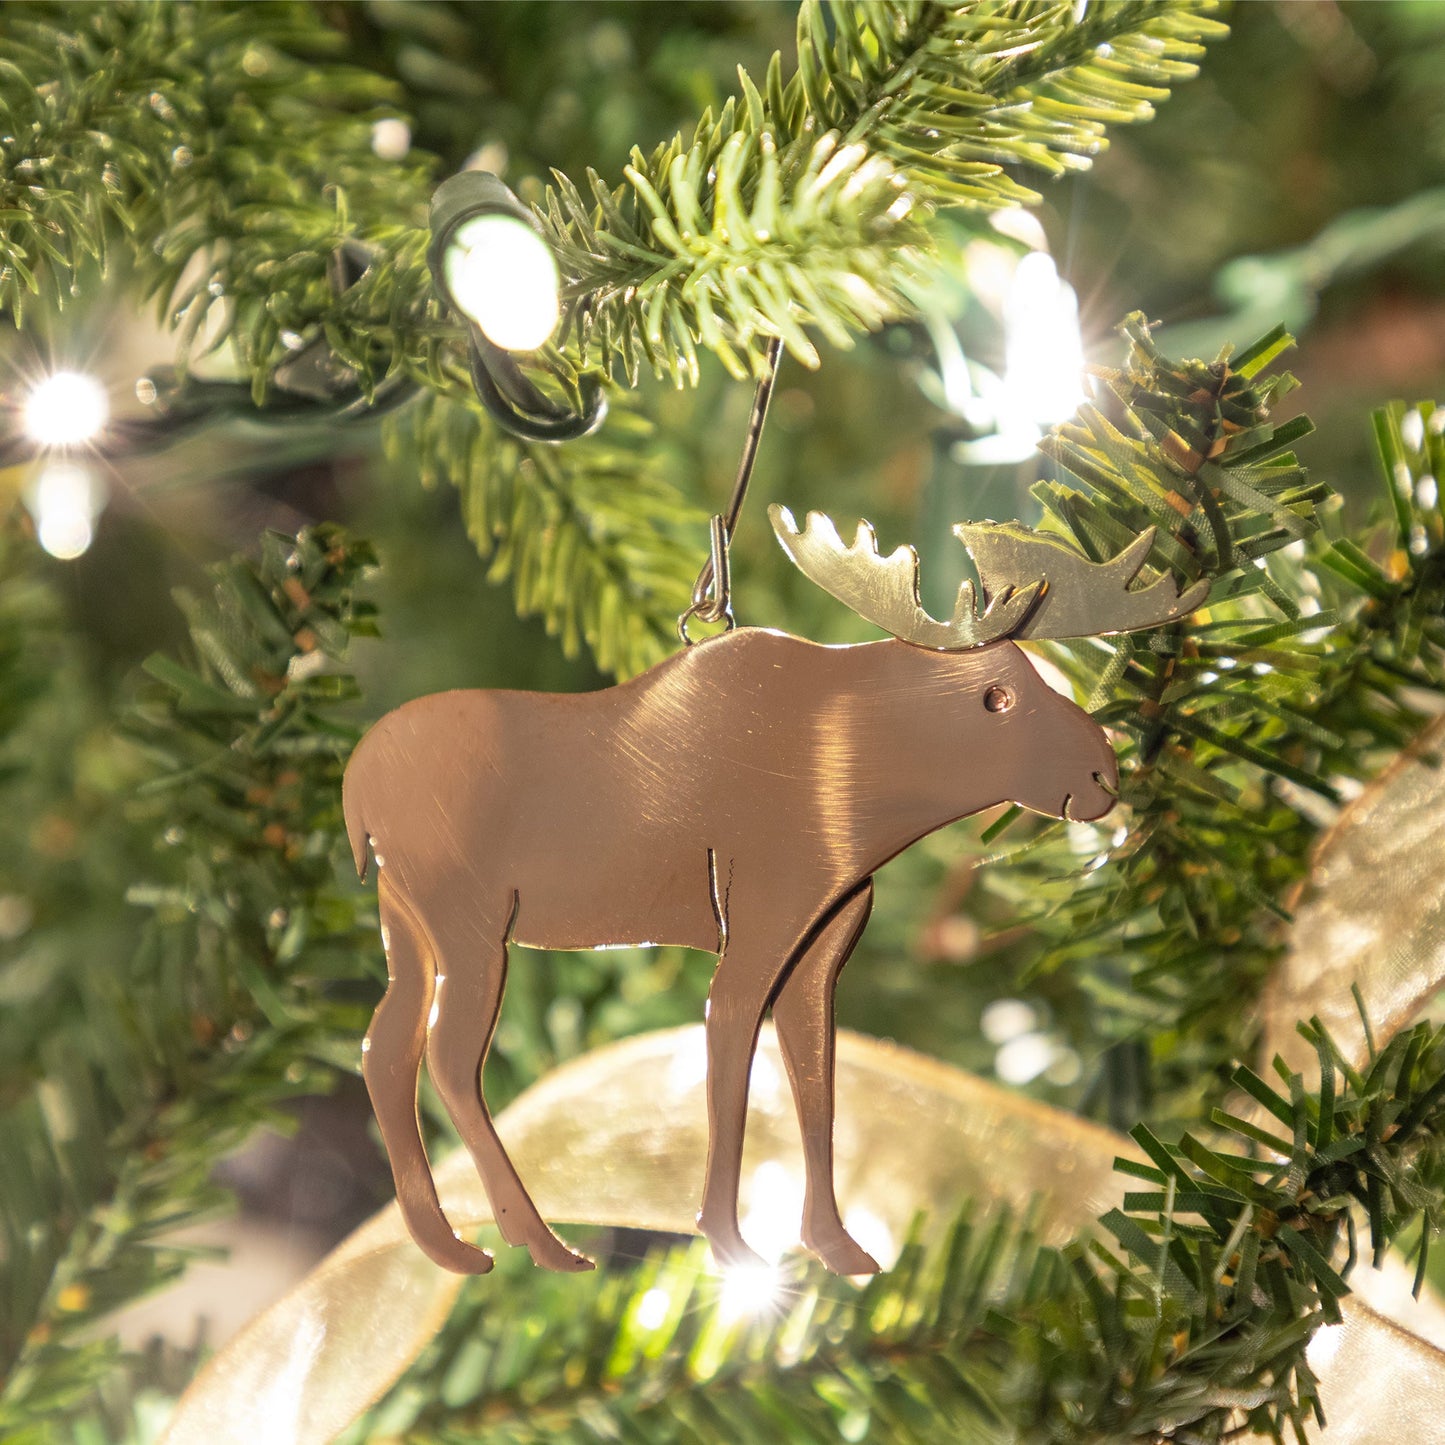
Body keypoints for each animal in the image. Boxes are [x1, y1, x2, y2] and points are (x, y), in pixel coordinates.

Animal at [342, 506, 1207, 1277]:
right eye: (996, 694)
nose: (1103, 773)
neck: (869, 799)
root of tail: (355, 788)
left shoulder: (821, 945)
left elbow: (817, 1087)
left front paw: (836, 1244)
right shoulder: (759, 925)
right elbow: (731, 1068)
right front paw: (729, 1242)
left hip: (403, 926)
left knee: (383, 1048)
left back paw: (447, 1244)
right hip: (469, 922)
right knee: (450, 1059)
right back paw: (539, 1239)